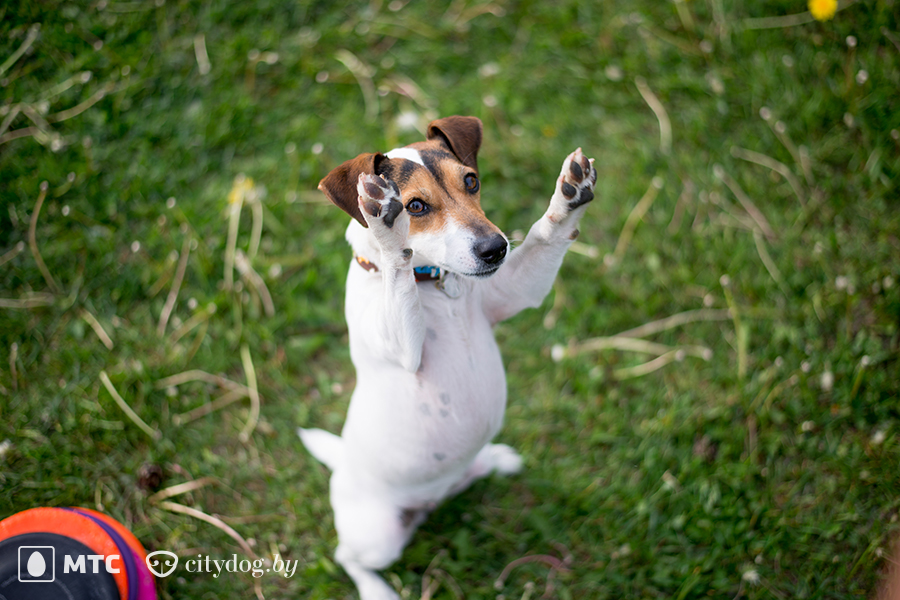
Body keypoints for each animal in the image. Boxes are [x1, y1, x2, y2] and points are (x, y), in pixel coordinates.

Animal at [300, 115, 596, 596]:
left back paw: (492, 461)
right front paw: (386, 226)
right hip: (378, 537)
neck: (438, 284)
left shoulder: (516, 291)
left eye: (471, 181)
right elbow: (396, 265)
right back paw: (377, 589)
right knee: (348, 559)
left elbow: (545, 236)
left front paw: (568, 196)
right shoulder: (401, 348)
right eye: (415, 206)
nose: (495, 248)